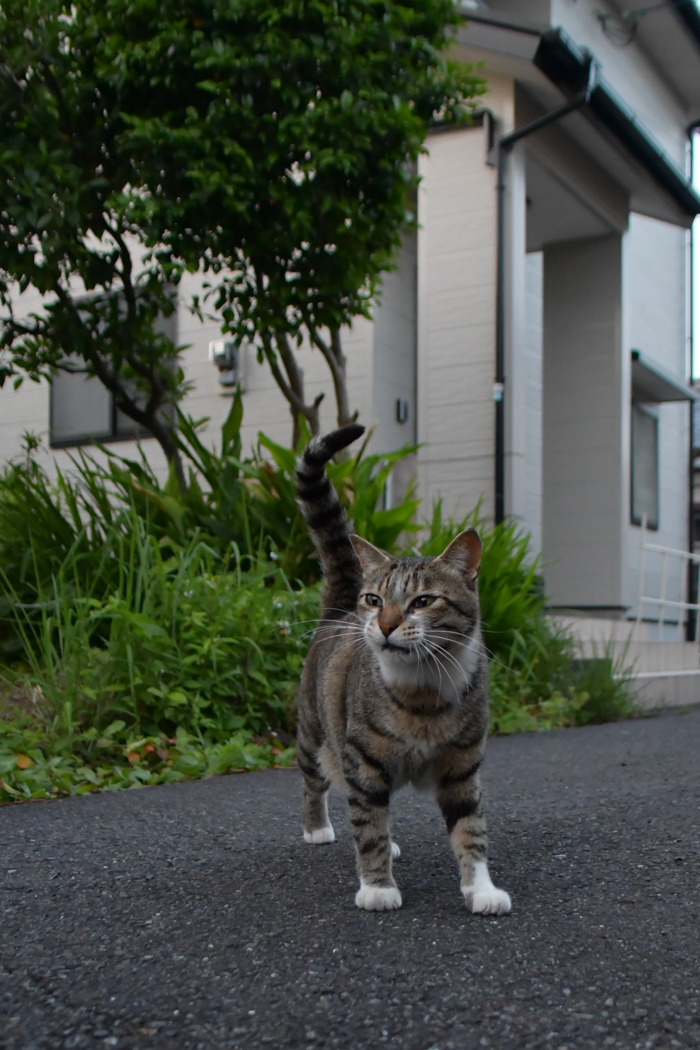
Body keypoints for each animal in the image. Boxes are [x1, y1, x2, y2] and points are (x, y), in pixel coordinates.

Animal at [293, 422, 512, 915]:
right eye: (375, 599)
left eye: (424, 600)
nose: (386, 624)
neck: (423, 693)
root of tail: (338, 610)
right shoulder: (365, 760)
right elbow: (369, 823)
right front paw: (377, 887)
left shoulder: (462, 767)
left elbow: (471, 829)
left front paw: (481, 889)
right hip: (315, 731)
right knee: (318, 783)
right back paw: (317, 828)